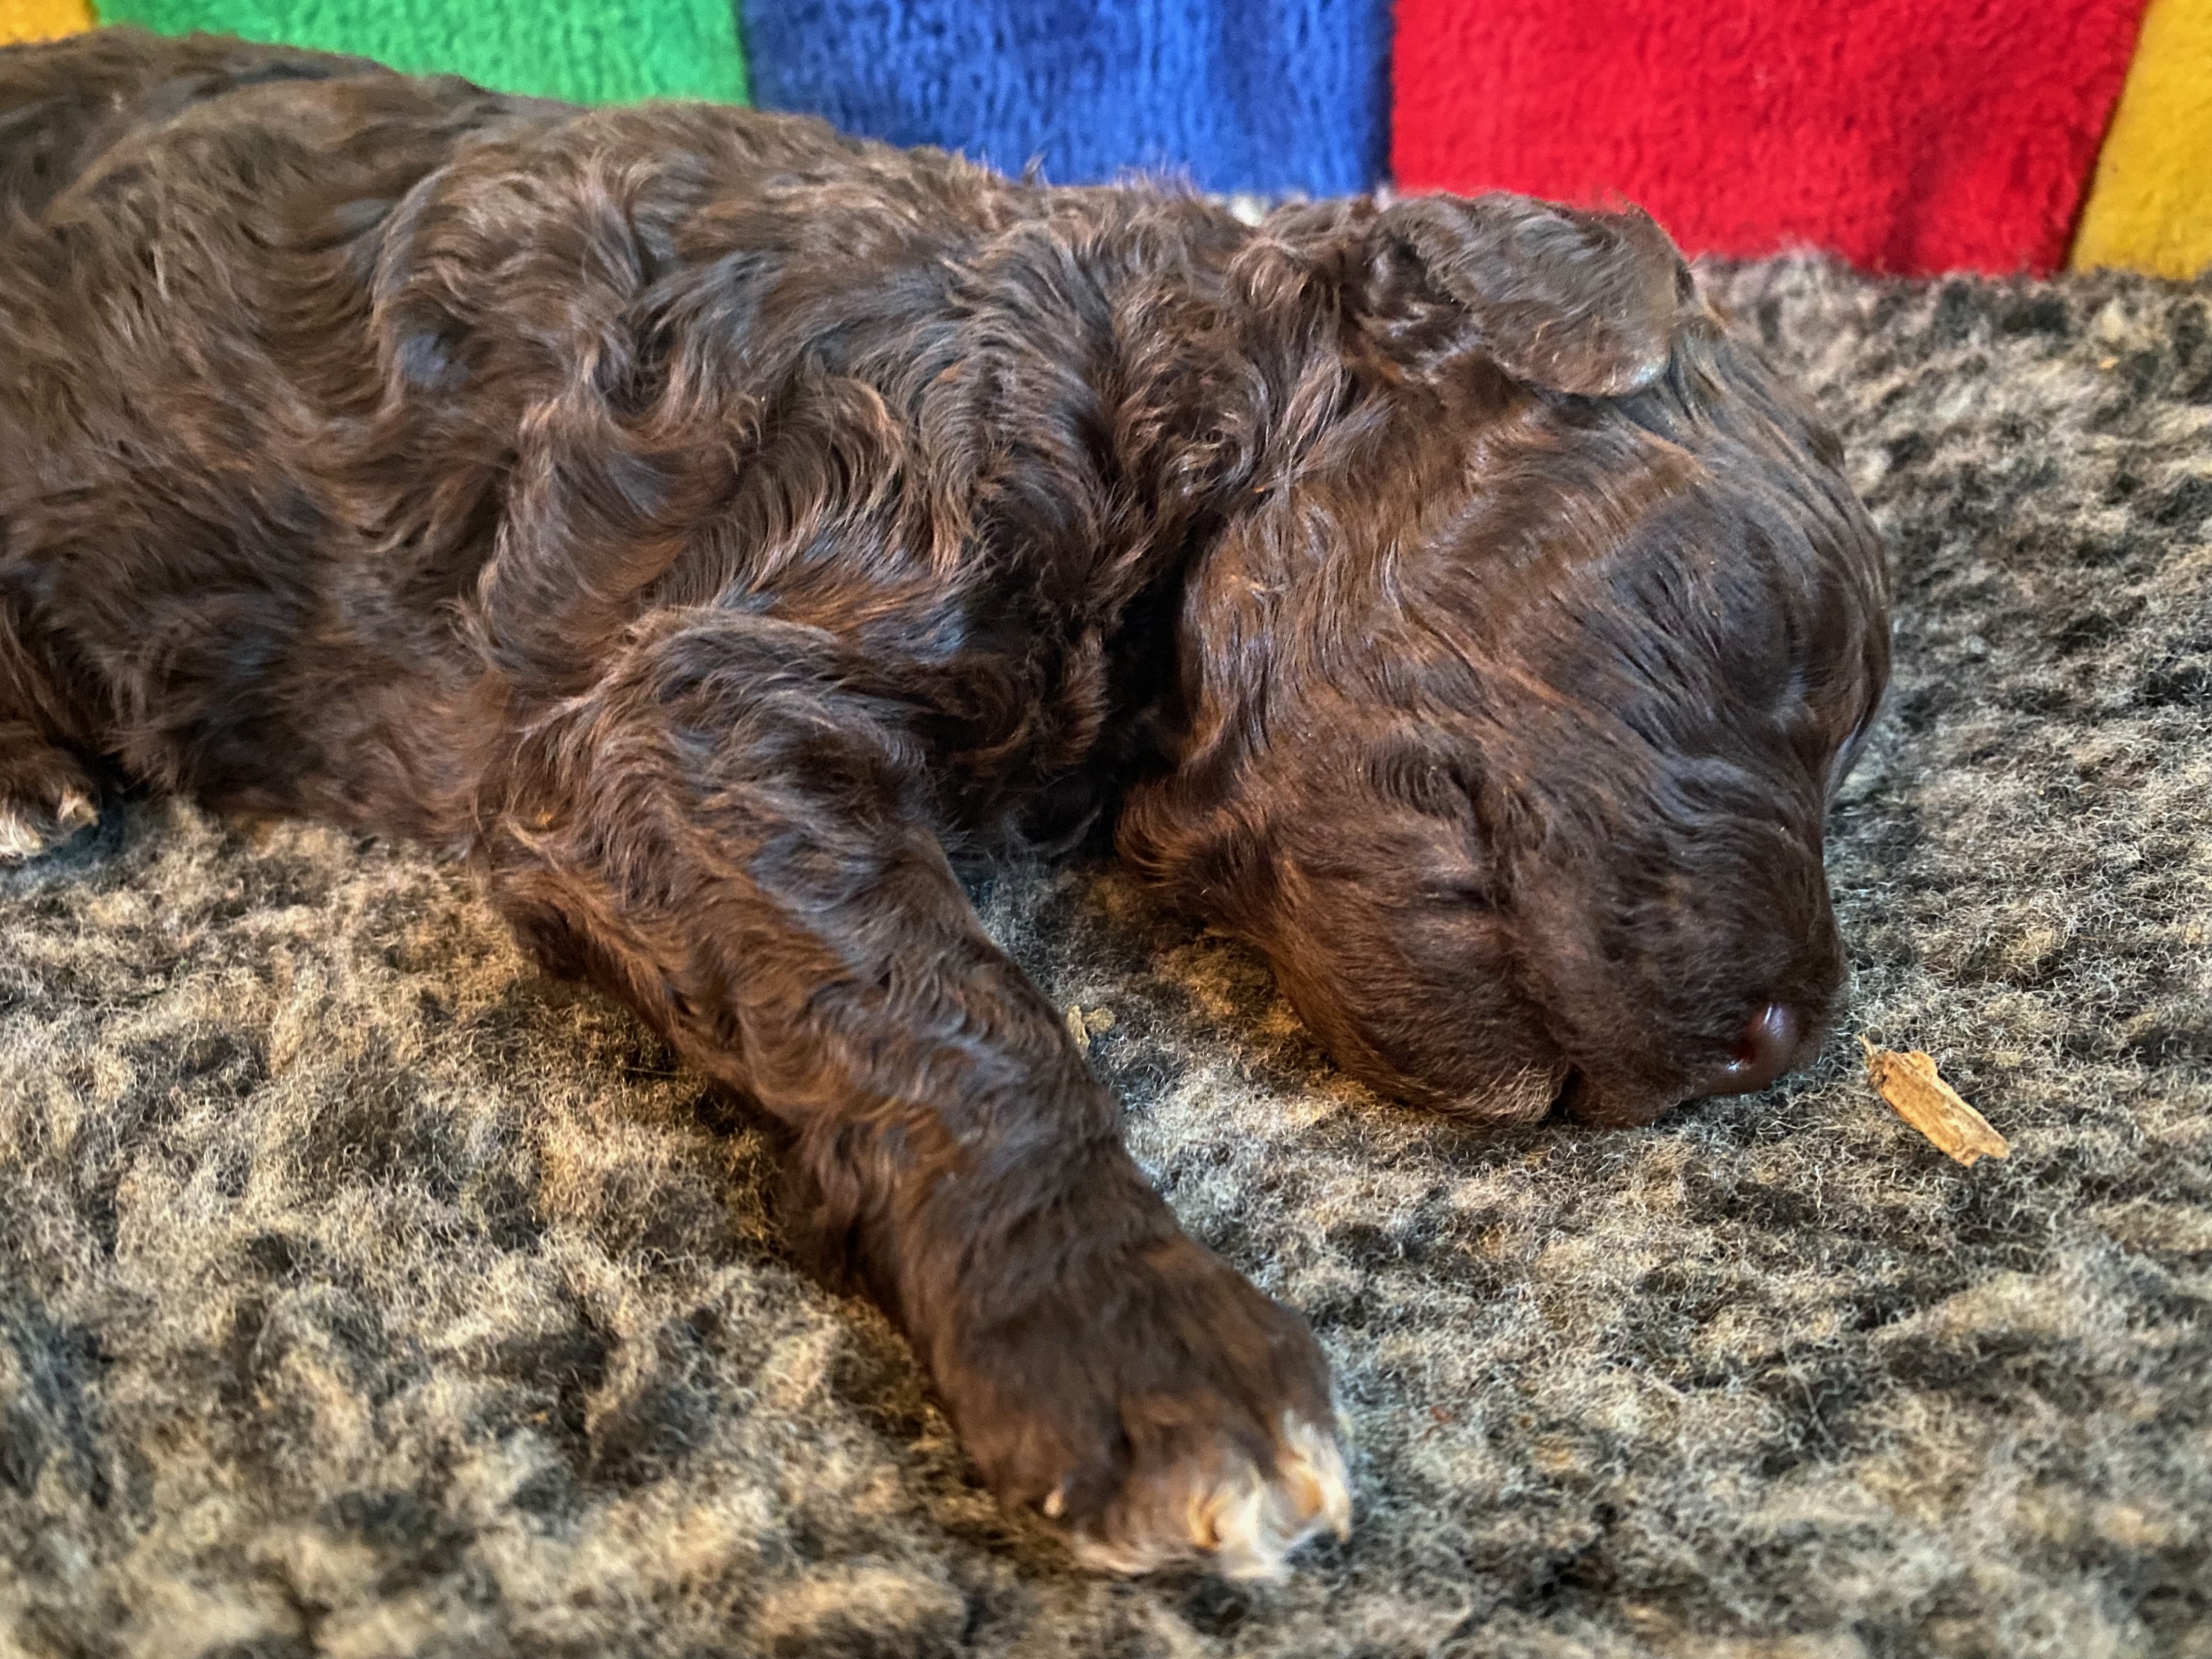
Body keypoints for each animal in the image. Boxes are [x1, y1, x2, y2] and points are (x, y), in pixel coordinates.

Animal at [0, 30, 1889, 1579]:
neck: (1131, 389)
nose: (1793, 1035)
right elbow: (954, 1012)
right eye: (1779, 634)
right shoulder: (689, 708)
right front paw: (1137, 1344)